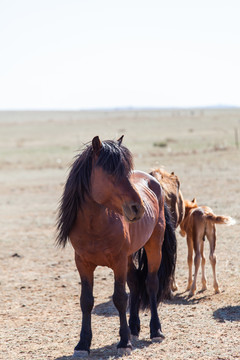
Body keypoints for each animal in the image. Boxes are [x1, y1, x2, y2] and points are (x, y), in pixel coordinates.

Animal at [56, 136, 176, 356]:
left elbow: (120, 298)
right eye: (110, 172)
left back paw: (155, 330)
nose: (138, 207)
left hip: (154, 246)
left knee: (151, 283)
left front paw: (124, 342)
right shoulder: (83, 264)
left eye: (126, 172)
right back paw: (134, 328)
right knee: (136, 282)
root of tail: (154, 181)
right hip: (129, 257)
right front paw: (83, 344)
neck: (94, 227)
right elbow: (86, 301)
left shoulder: (118, 262)